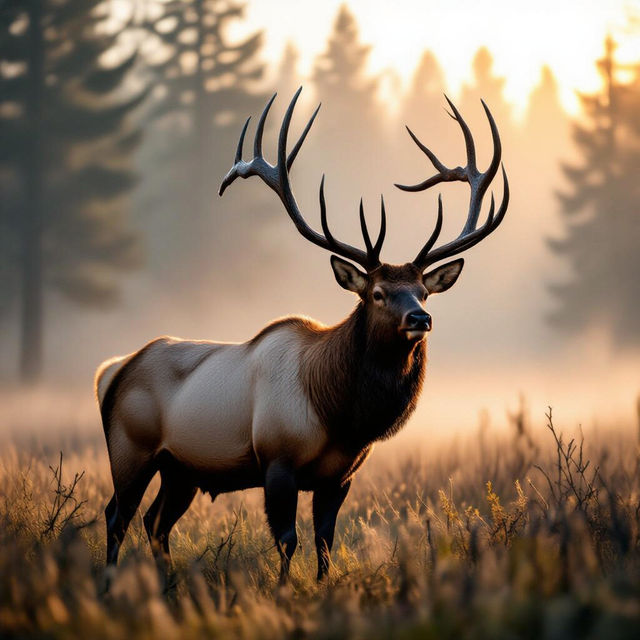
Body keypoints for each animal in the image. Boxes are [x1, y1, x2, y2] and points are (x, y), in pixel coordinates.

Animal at [95, 88, 509, 583]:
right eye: (377, 293)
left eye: (424, 292)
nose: (420, 319)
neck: (341, 415)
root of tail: (113, 372)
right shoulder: (278, 461)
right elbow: (288, 540)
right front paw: (282, 590)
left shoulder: (341, 476)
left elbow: (325, 542)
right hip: (130, 448)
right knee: (117, 515)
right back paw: (109, 584)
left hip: (181, 468)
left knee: (155, 522)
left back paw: (169, 587)